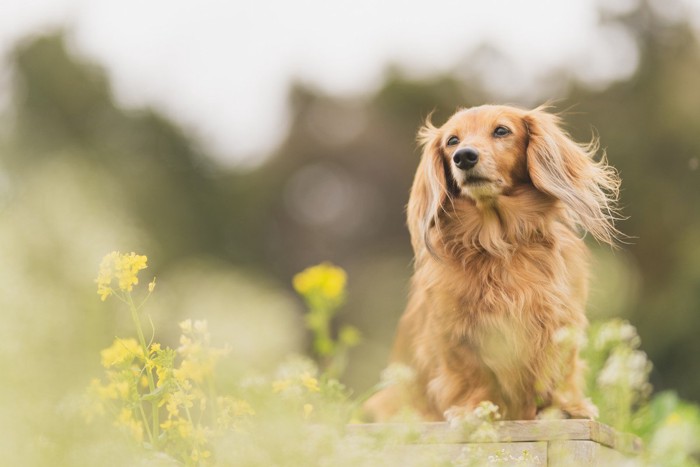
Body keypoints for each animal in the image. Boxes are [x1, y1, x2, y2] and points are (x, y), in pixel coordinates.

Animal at [364, 104, 620, 422]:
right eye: (452, 141)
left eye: (501, 130)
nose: (464, 156)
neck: (499, 243)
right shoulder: (457, 333)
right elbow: (474, 374)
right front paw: (475, 409)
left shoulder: (561, 321)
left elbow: (561, 368)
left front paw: (567, 407)